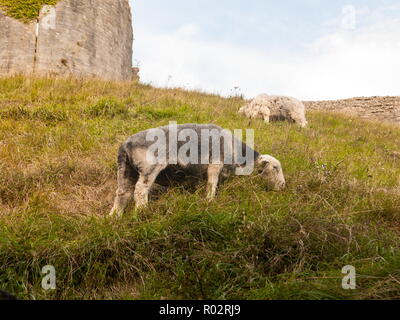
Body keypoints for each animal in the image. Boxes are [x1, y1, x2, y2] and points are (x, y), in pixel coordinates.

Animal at [109, 124, 284, 216]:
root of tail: (126, 144)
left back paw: (114, 217)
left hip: (125, 169)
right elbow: (212, 184)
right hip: (149, 166)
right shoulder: (215, 164)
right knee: (140, 190)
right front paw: (210, 201)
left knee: (123, 193)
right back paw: (143, 212)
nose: (283, 186)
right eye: (275, 167)